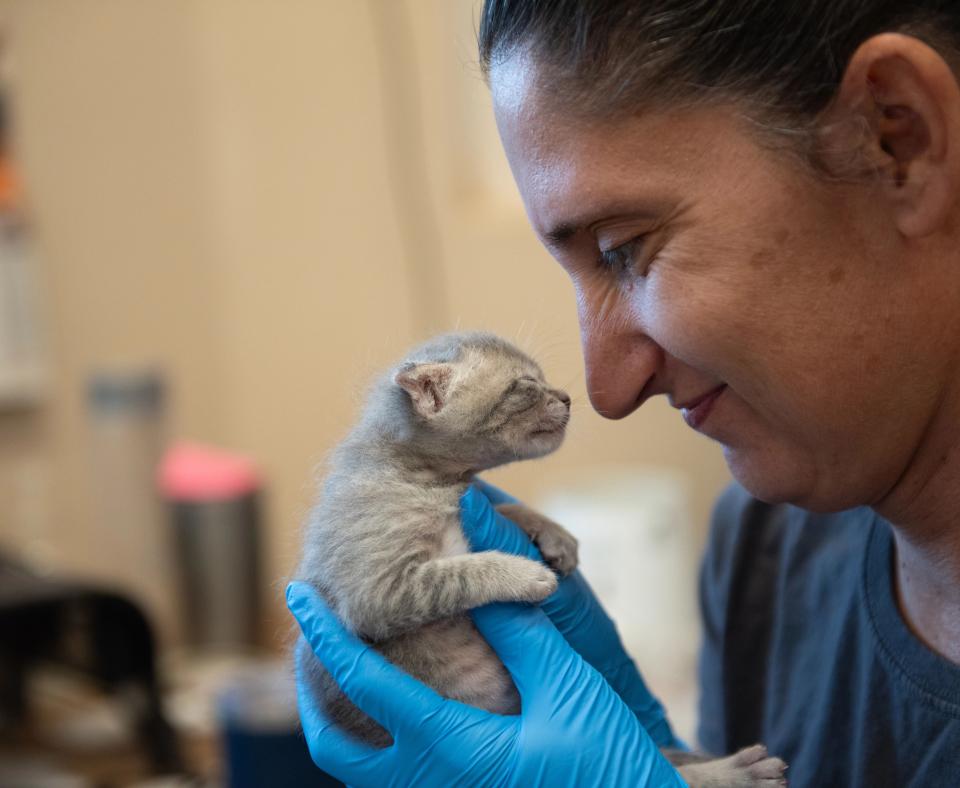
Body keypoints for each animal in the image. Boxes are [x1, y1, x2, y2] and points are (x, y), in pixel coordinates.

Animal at [296, 332, 784, 788]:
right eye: (525, 385)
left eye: (541, 379)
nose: (566, 396)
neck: (437, 479)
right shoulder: (377, 589)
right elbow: (461, 569)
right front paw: (525, 573)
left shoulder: (467, 504)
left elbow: (503, 507)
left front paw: (552, 532)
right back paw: (738, 770)